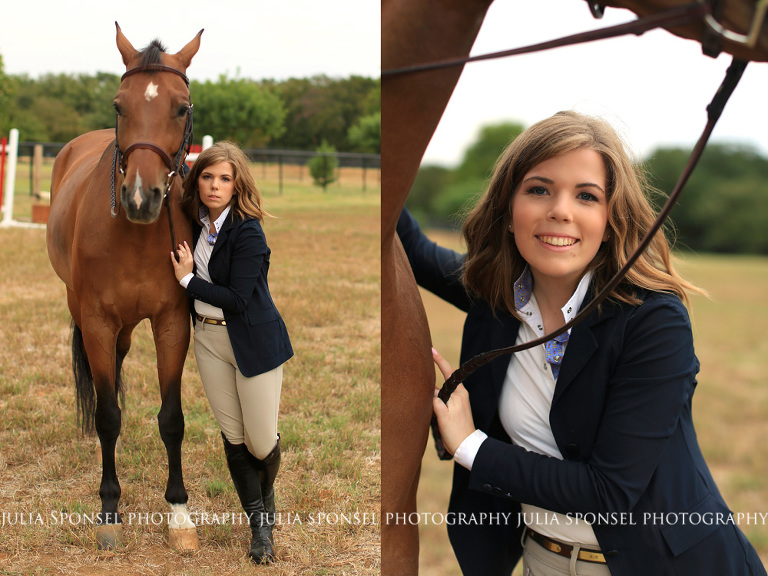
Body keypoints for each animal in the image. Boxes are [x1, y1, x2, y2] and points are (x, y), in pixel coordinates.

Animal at [44, 24, 201, 552]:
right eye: (118, 105)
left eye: (181, 107)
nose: (139, 198)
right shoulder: (95, 322)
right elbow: (107, 416)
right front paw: (109, 509)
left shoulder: (171, 323)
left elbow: (171, 418)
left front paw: (179, 514)